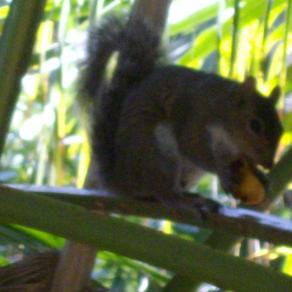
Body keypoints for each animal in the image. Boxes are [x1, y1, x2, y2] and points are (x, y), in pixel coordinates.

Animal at [80, 15, 282, 208]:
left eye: (280, 129)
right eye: (255, 125)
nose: (269, 164)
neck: (222, 110)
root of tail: (123, 181)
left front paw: (259, 173)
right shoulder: (195, 119)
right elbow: (193, 149)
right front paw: (222, 172)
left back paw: (191, 196)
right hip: (158, 153)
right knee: (161, 191)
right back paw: (182, 200)